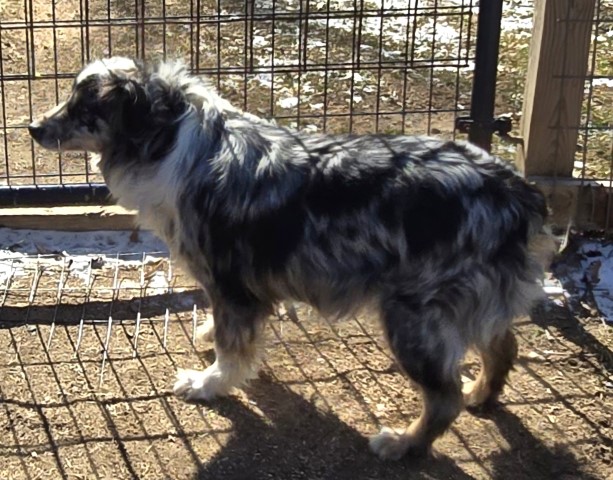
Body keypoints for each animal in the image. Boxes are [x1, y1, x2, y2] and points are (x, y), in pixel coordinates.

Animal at [28, 58, 556, 460]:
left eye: (84, 107)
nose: (33, 127)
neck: (170, 139)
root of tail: (515, 189)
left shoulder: (232, 284)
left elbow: (233, 349)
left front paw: (209, 383)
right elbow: (225, 330)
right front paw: (207, 336)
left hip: (413, 318)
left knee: (444, 396)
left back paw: (404, 443)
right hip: (471, 303)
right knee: (503, 347)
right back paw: (481, 395)